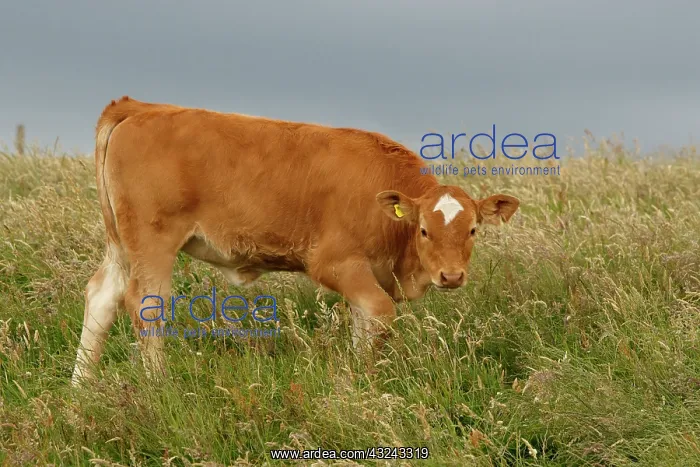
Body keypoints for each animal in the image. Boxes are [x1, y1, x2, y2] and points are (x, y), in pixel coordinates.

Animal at [71, 96, 520, 385]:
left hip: (121, 243)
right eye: (425, 229)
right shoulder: (334, 262)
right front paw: (361, 384)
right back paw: (159, 386)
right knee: (146, 304)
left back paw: (82, 389)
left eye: (473, 229)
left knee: (102, 295)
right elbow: (379, 314)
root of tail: (140, 107)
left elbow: (363, 324)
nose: (451, 276)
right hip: (153, 242)